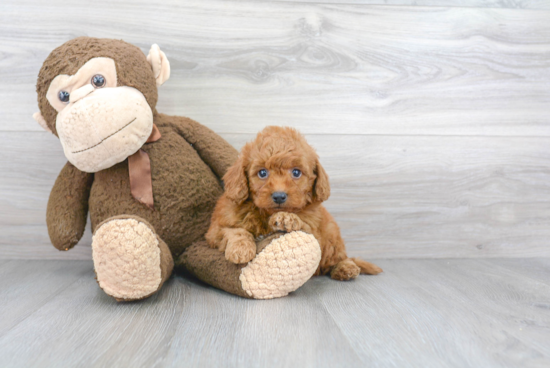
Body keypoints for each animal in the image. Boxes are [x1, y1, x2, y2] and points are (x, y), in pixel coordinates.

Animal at [207, 125, 384, 280]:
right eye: (262, 173)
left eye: (296, 172)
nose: (279, 196)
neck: (266, 214)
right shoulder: (214, 231)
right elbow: (234, 230)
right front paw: (241, 249)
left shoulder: (314, 230)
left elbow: (303, 224)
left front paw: (287, 218)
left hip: (332, 237)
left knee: (338, 258)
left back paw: (345, 268)